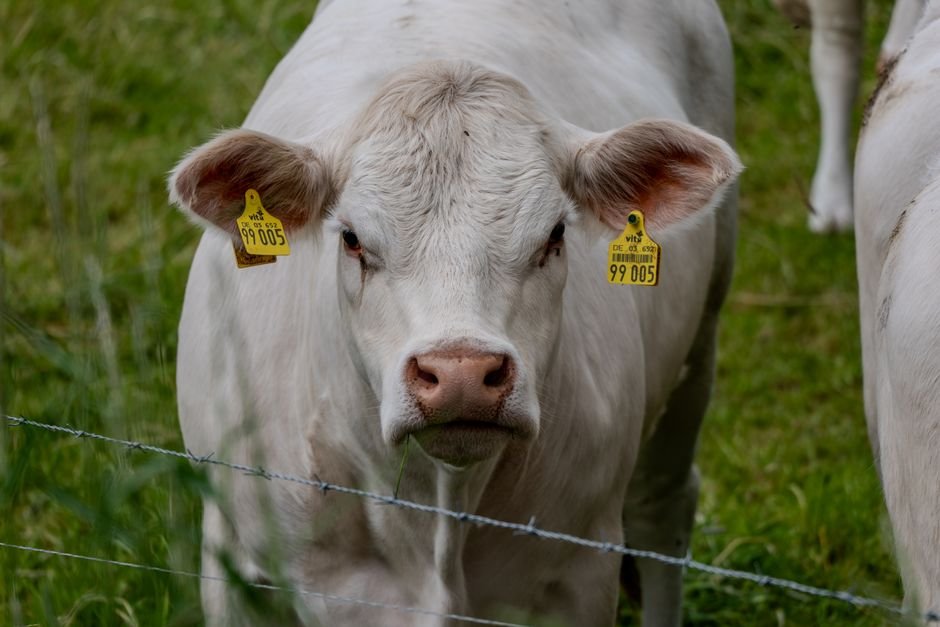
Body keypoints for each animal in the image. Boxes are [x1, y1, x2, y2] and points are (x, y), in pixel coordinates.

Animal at [169, 1, 742, 625]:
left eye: (555, 234)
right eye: (351, 238)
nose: (461, 375)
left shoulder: (582, 572)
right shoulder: (232, 559)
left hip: (702, 338)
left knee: (663, 504)